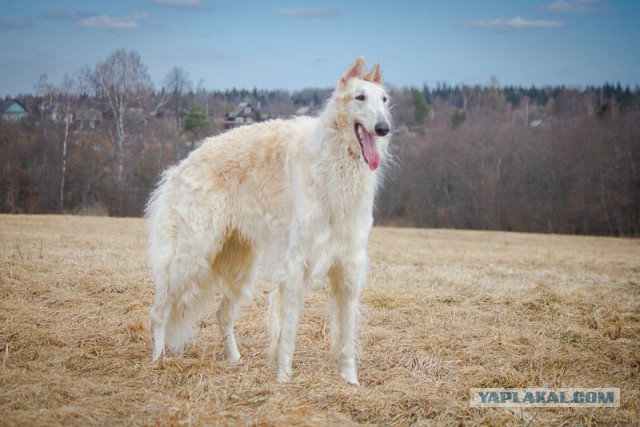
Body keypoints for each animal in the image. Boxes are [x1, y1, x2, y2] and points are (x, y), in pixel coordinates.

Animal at [147, 56, 392, 384]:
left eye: (384, 99)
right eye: (359, 97)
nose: (383, 128)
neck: (333, 163)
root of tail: (178, 169)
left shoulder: (349, 266)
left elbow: (347, 337)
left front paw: (350, 381)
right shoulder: (295, 265)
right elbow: (287, 333)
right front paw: (284, 377)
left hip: (240, 264)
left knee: (222, 315)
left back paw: (236, 359)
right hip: (191, 258)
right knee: (159, 312)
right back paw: (157, 360)